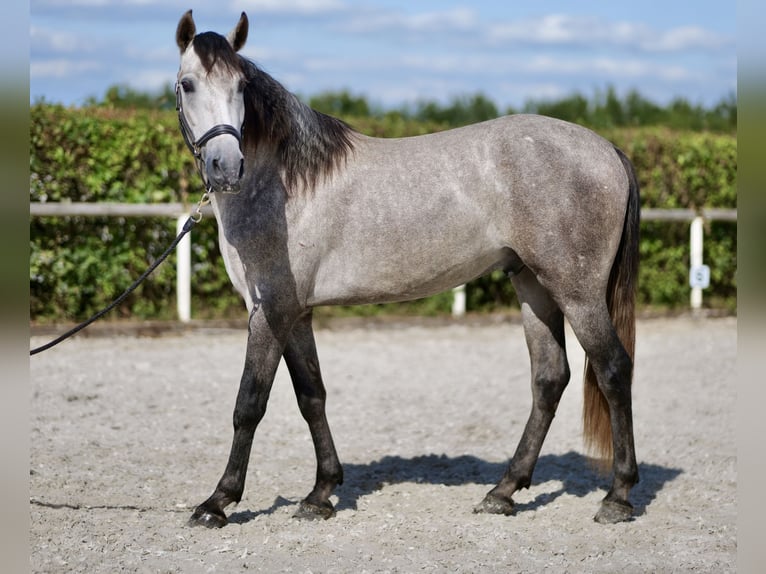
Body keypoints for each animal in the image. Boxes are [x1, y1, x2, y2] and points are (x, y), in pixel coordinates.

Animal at [174, 10, 640, 532]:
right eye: (188, 84)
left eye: (241, 86)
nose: (225, 166)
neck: (287, 181)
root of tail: (608, 150)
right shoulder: (295, 313)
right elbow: (311, 395)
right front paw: (321, 493)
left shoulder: (269, 310)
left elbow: (249, 404)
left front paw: (218, 501)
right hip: (533, 286)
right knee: (549, 379)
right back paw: (502, 492)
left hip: (577, 292)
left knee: (613, 369)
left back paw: (617, 496)